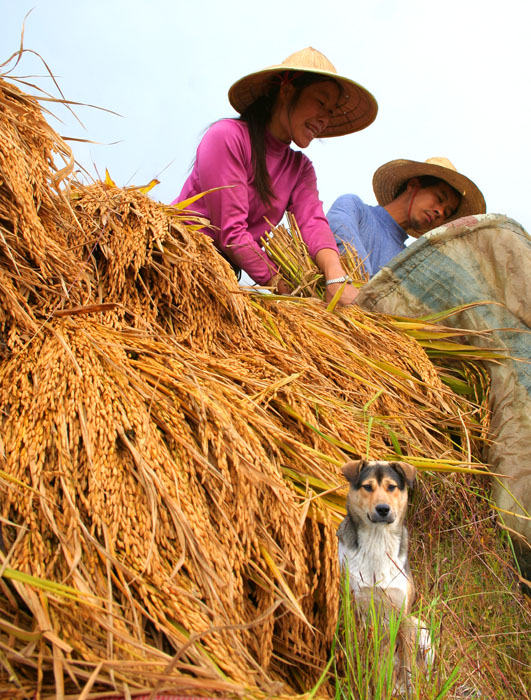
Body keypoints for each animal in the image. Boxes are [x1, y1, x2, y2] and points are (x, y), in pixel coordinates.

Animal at [338, 460, 434, 688]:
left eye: (391, 487)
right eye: (367, 487)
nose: (383, 509)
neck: (377, 539)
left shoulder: (402, 613)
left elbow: (406, 664)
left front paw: (408, 687)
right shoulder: (354, 604)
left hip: (421, 628)